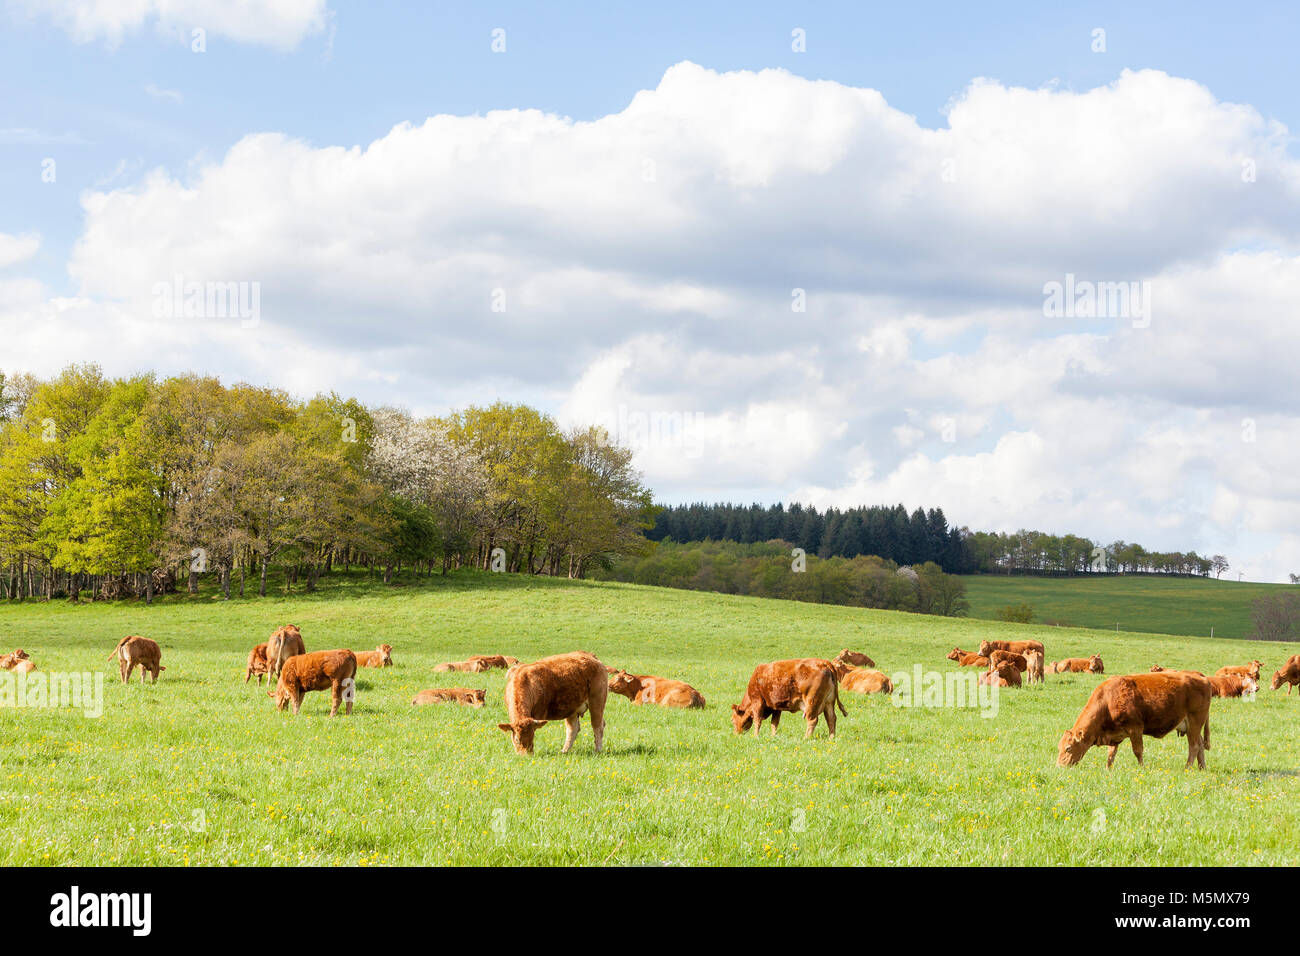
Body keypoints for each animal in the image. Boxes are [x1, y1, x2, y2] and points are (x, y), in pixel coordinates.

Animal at [1055, 671, 1206, 775]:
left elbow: (1138, 751)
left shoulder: (1135, 729)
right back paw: (1202, 768)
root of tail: (1199, 676)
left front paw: (1142, 768)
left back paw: (1187, 768)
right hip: (1193, 726)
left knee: (1194, 746)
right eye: (1059, 748)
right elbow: (1111, 754)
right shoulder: (1114, 735)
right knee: (1200, 744)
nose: (1059, 767)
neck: (1108, 700)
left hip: (1195, 721)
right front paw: (1108, 769)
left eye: (1068, 748)